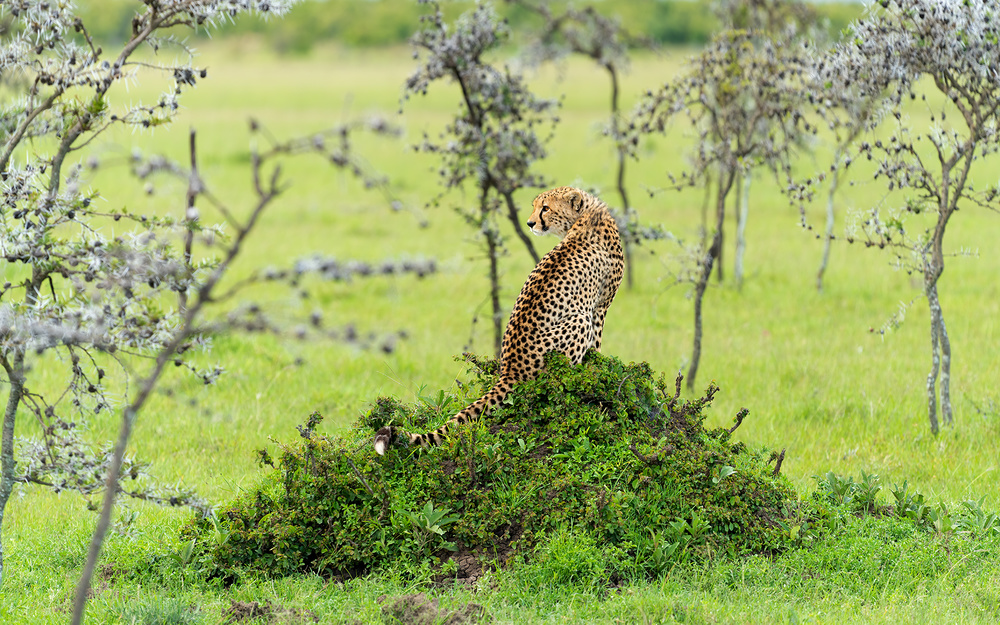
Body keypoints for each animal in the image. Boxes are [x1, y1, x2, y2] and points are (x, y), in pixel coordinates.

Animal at [376, 185, 624, 454]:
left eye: (545, 208)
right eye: (536, 206)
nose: (530, 223)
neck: (585, 215)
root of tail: (509, 370)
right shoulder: (599, 308)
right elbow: (597, 346)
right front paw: (597, 370)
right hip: (578, 320)